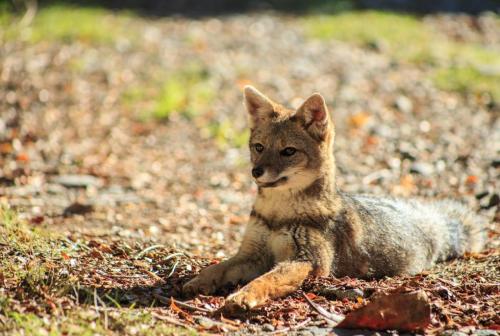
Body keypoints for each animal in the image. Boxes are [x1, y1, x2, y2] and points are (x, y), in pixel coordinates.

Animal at [182, 86, 486, 312]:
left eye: (288, 151)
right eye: (259, 147)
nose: (256, 172)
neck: (277, 214)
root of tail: (429, 220)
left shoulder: (309, 261)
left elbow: (268, 279)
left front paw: (244, 296)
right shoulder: (252, 253)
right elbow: (220, 267)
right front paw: (198, 281)